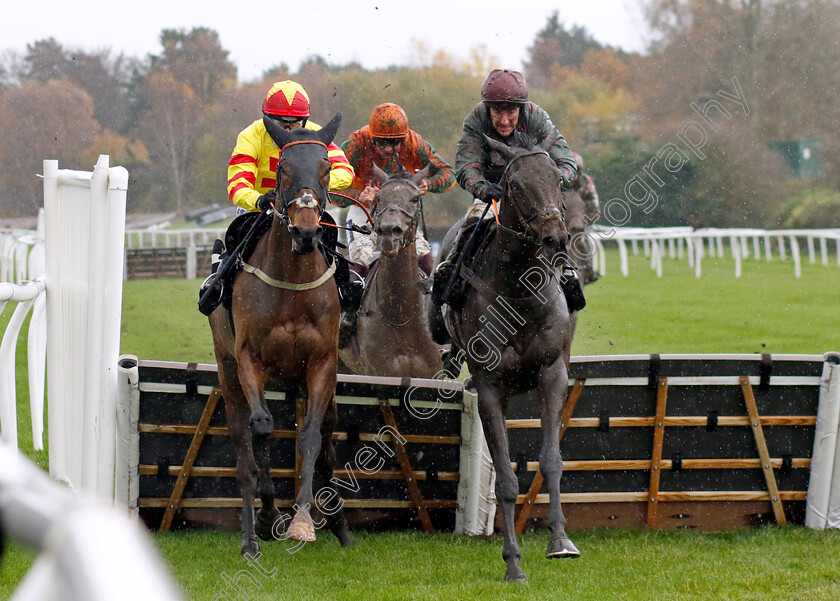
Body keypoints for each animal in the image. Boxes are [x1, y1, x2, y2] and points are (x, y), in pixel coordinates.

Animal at [212, 113, 356, 556]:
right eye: (283, 170)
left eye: (325, 169)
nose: (307, 232)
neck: (292, 281)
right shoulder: (248, 360)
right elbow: (262, 429)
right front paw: (269, 513)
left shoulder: (322, 363)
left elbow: (310, 436)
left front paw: (304, 520)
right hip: (229, 374)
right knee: (244, 443)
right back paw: (253, 532)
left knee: (327, 431)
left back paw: (340, 524)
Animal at [342, 163, 446, 380]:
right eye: (379, 197)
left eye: (415, 198)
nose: (390, 231)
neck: (402, 316)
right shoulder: (380, 373)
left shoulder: (433, 373)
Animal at [430, 134, 580, 580]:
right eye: (514, 185)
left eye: (557, 179)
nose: (555, 237)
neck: (518, 291)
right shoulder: (490, 387)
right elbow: (505, 480)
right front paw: (513, 561)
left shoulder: (552, 373)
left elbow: (551, 461)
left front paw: (560, 540)